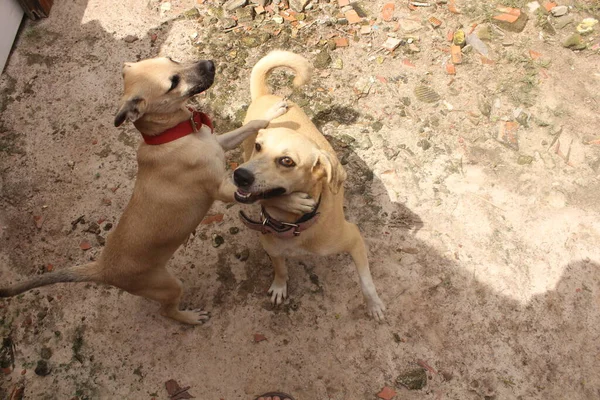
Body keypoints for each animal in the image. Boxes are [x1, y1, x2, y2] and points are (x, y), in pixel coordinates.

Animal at [0, 55, 312, 324]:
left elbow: (251, 125)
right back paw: (190, 318)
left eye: (171, 59)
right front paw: (295, 202)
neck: (171, 136)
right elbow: (254, 193)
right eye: (173, 82)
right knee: (167, 312)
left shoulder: (220, 143)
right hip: (168, 286)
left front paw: (273, 111)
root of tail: (103, 267)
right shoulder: (223, 188)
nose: (210, 63)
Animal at [232, 50, 386, 320]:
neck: (292, 226)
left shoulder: (354, 238)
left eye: (287, 161)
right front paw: (280, 286)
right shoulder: (272, 249)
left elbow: (366, 281)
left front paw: (374, 304)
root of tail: (264, 95)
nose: (239, 176)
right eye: (260, 147)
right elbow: (281, 270)